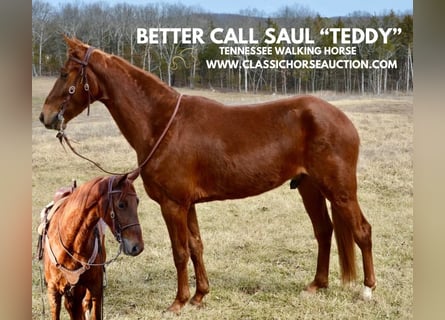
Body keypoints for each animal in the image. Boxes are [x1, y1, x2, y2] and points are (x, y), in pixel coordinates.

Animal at [38, 172, 143, 320]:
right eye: (121, 204)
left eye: (137, 202)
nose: (137, 247)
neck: (71, 245)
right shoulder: (53, 292)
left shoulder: (95, 289)